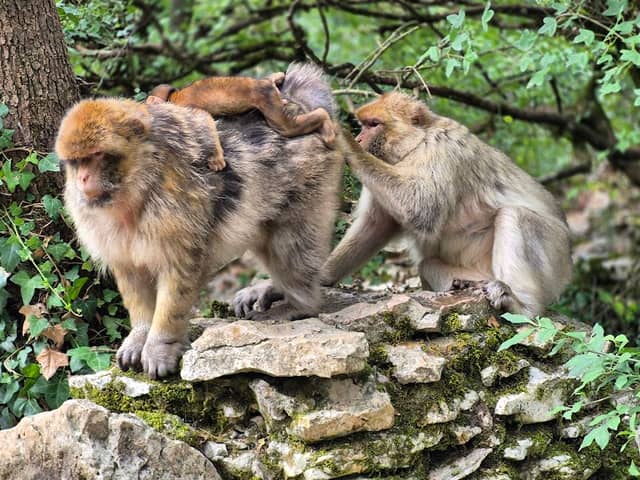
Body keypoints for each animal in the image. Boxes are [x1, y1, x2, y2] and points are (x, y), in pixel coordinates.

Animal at [146, 71, 336, 152]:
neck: (174, 97)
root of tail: (262, 84)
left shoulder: (184, 108)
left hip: (266, 97)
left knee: (287, 127)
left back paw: (324, 119)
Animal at [321, 92, 572, 318]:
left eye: (374, 124)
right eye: (363, 125)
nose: (360, 139)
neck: (415, 146)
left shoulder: (443, 148)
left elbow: (420, 207)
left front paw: (344, 141)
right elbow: (377, 225)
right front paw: (323, 275)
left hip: (555, 253)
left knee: (514, 215)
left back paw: (522, 306)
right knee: (428, 264)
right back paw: (462, 286)